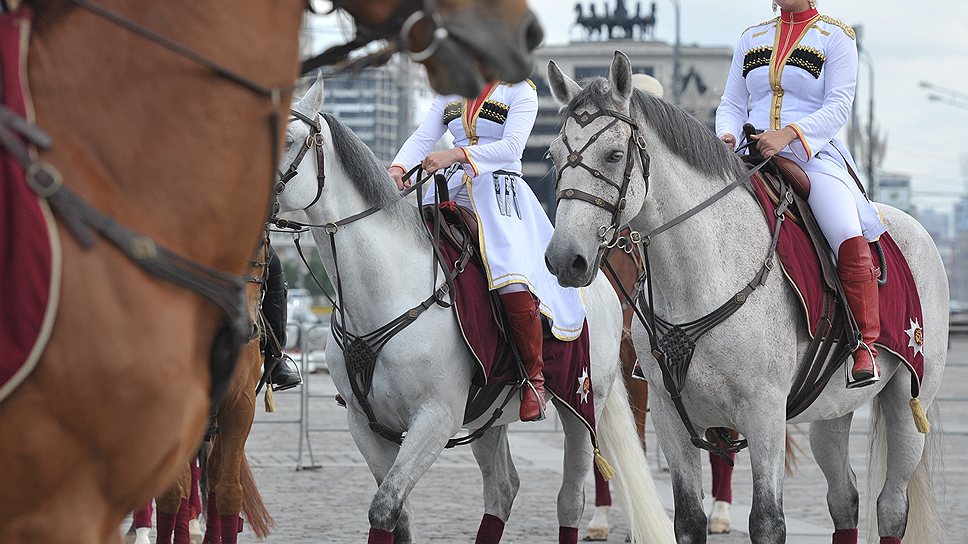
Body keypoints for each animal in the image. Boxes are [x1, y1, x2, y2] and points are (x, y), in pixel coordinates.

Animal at [276, 76, 676, 544]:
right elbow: (395, 515)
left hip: (580, 403)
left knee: (569, 499)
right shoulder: (366, 425)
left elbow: (385, 506)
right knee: (502, 489)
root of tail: (598, 282)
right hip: (488, 415)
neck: (386, 290)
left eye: (288, 140)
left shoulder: (435, 419)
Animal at [544, 54, 944, 544]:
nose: (566, 259)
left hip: (909, 399)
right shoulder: (668, 413)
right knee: (843, 498)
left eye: (614, 155)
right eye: (553, 155)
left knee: (890, 506)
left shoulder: (764, 412)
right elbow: (688, 519)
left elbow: (767, 521)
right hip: (831, 408)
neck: (698, 278)